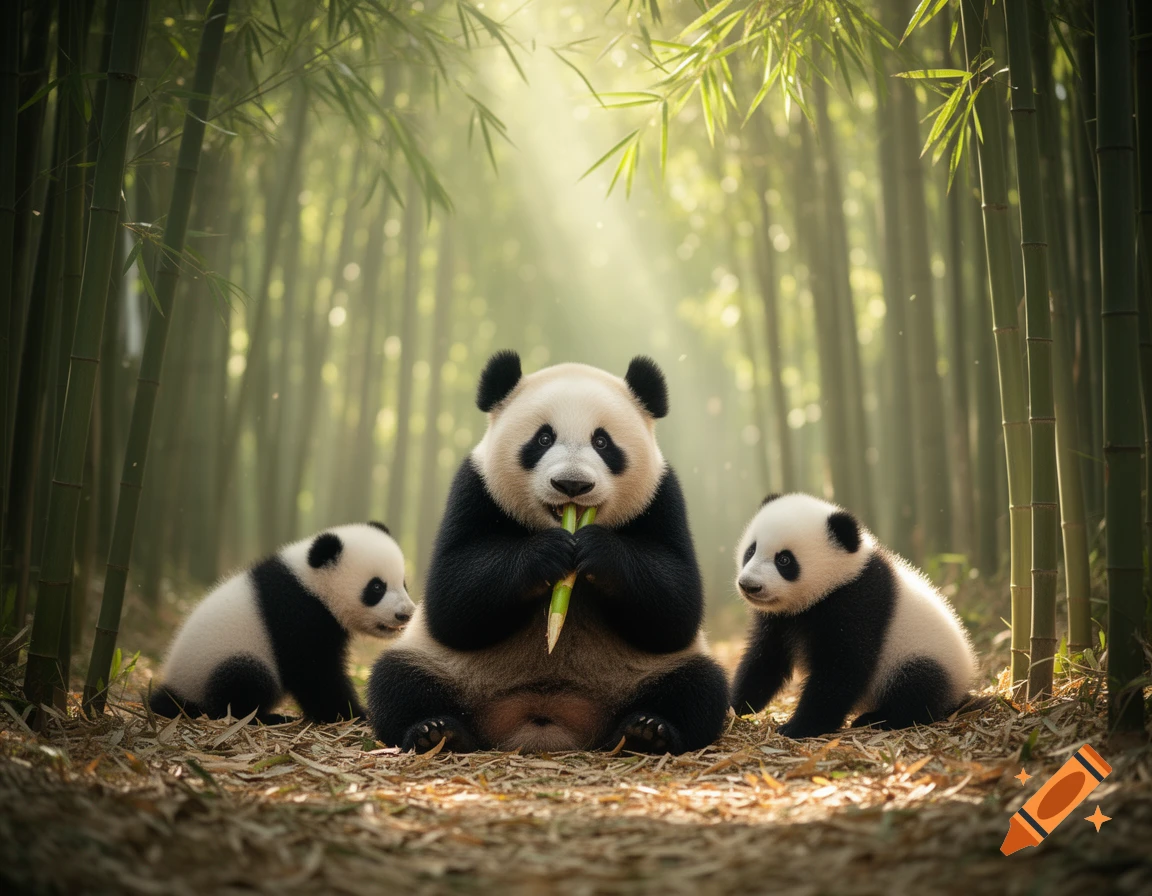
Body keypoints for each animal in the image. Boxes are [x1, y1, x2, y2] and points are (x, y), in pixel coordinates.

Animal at [149, 522, 415, 724]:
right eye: (377, 587)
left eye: (403, 583)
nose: (406, 614)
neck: (310, 581)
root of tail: (175, 690)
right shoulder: (297, 613)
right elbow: (314, 672)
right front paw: (353, 715)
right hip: (217, 661)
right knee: (242, 683)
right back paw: (266, 717)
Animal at [366, 351, 729, 754]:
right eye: (543, 438)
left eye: (602, 442)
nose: (572, 484)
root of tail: (548, 719)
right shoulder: (474, 487)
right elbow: (451, 602)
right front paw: (546, 555)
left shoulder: (663, 496)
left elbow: (677, 609)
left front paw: (597, 550)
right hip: (445, 665)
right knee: (396, 680)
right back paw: (437, 731)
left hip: (640, 673)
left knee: (700, 686)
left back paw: (647, 731)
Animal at [730, 493, 977, 738]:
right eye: (751, 551)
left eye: (784, 560)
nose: (749, 585)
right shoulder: (779, 618)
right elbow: (765, 658)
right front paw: (735, 707)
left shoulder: (857, 602)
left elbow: (843, 668)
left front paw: (799, 726)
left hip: (920, 656)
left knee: (916, 688)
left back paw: (877, 718)